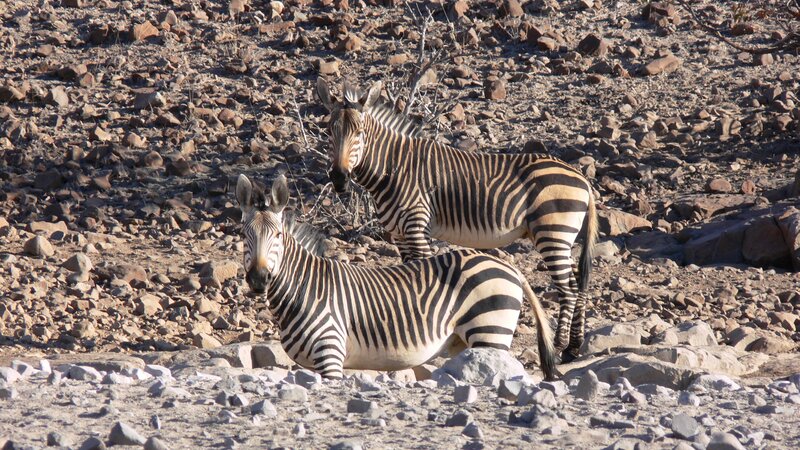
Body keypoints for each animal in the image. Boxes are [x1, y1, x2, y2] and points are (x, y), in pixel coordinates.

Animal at [236, 172, 556, 380]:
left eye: (278, 236)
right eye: (244, 234)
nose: (259, 280)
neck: (304, 289)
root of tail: (509, 267)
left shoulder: (330, 356)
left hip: (490, 331)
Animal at [316, 78, 596, 362]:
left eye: (360, 133)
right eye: (329, 132)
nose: (338, 178)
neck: (392, 168)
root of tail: (581, 178)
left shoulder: (416, 227)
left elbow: (419, 276)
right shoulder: (399, 234)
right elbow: (405, 276)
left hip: (553, 232)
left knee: (568, 289)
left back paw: (560, 346)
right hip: (560, 236)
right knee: (579, 285)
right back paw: (573, 347)